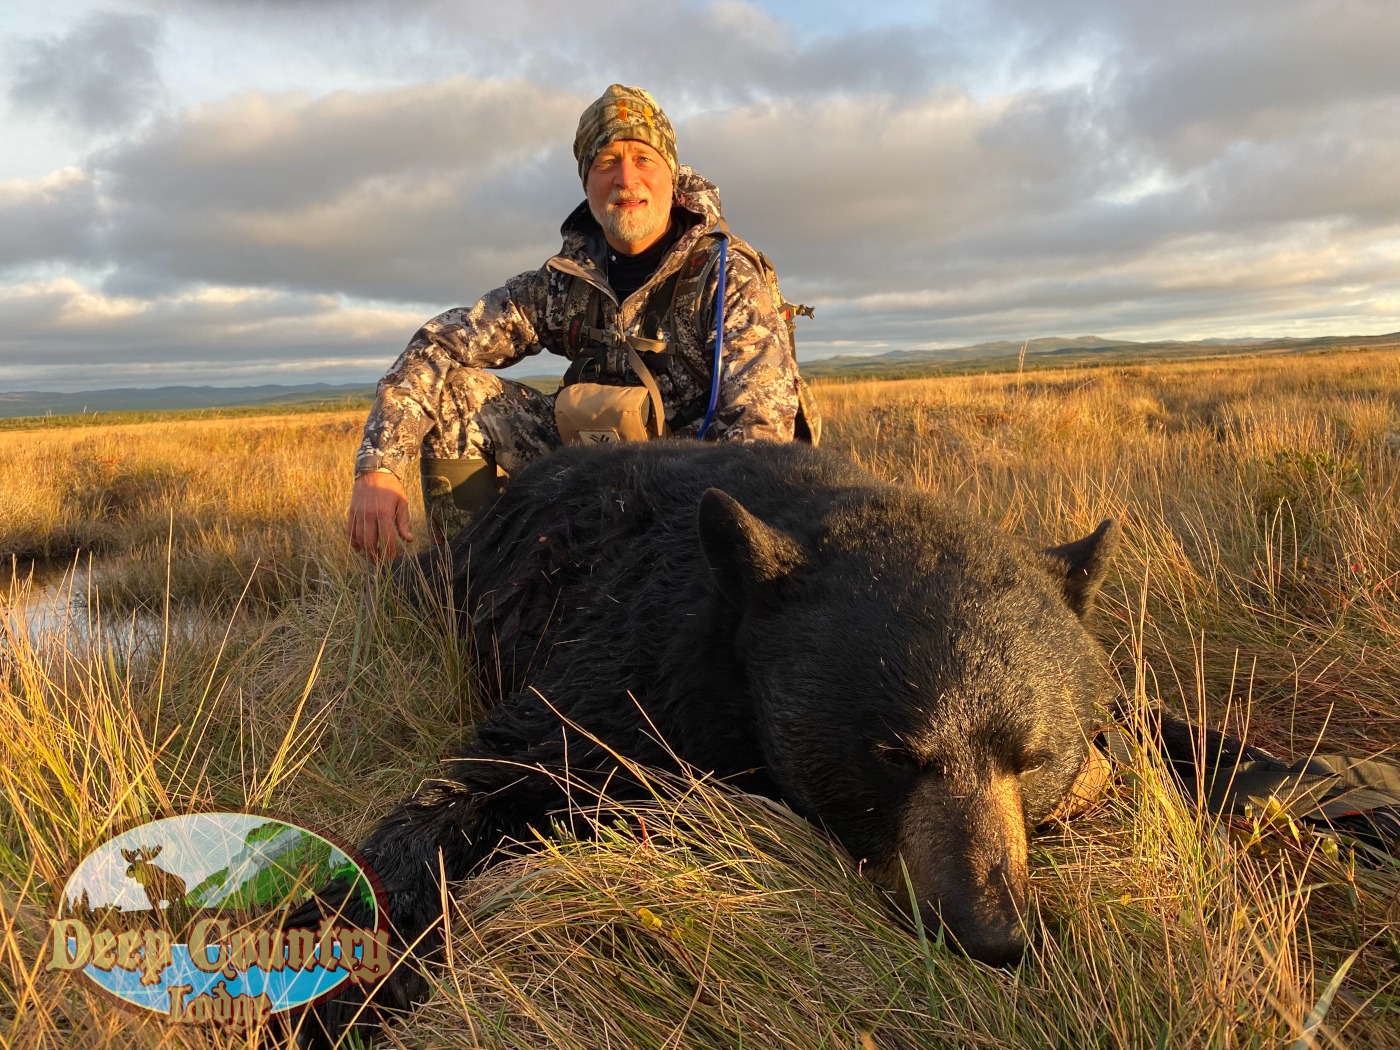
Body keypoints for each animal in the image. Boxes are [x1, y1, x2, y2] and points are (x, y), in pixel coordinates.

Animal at [294, 440, 1120, 1046]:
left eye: (1036, 759)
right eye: (893, 755)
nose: (991, 933)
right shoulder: (622, 675)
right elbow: (486, 781)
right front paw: (339, 976)